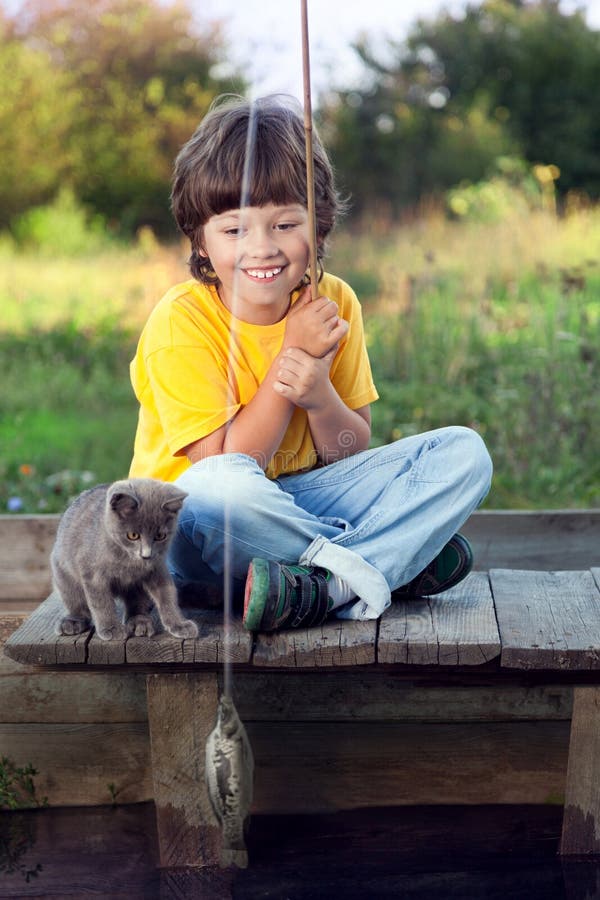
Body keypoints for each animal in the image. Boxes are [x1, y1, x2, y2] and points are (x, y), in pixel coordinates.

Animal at [51, 478, 197, 640]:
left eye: (160, 536)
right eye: (133, 535)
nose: (146, 555)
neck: (128, 560)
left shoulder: (157, 567)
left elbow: (168, 593)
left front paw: (179, 624)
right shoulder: (92, 573)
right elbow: (101, 602)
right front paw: (111, 628)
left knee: (136, 602)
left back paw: (139, 622)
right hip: (64, 574)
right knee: (76, 601)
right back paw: (72, 621)